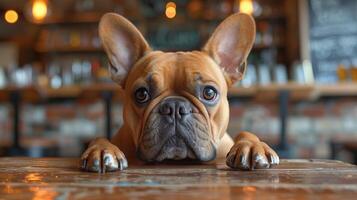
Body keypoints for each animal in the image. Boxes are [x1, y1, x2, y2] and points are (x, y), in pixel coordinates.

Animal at [80, 12, 278, 173]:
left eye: (209, 93)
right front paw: (102, 150)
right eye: (141, 94)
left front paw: (252, 146)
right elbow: (99, 138)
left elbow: (245, 132)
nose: (174, 107)